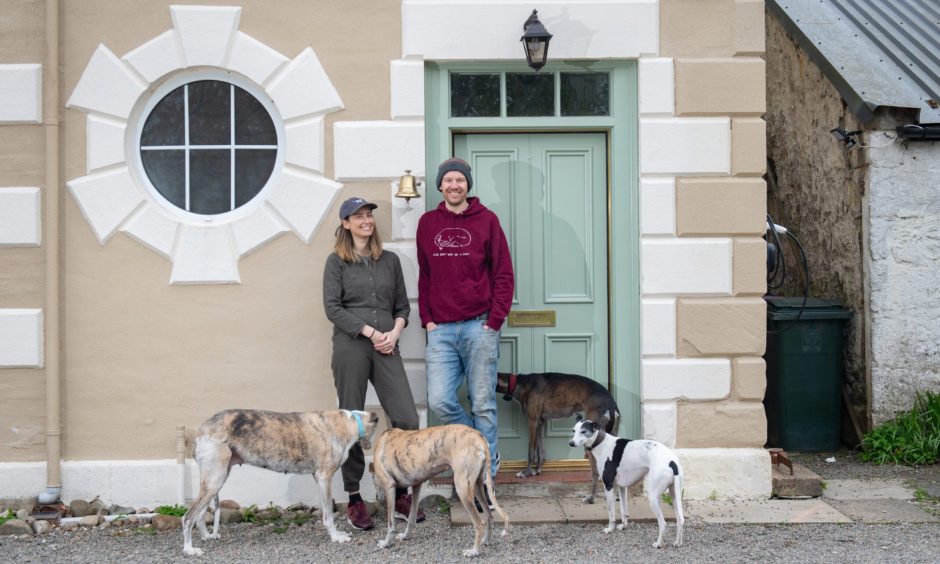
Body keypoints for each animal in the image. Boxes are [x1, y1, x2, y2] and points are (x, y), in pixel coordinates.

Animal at [496, 372, 620, 504]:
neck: (520, 383)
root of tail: (611, 405)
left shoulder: (533, 421)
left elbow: (531, 451)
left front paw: (526, 473)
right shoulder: (540, 422)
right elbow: (540, 450)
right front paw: (537, 470)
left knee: (596, 473)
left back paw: (591, 498)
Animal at [568, 414, 688, 548]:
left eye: (583, 431)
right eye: (574, 430)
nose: (571, 443)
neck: (602, 444)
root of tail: (672, 462)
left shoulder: (608, 486)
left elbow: (611, 512)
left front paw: (610, 529)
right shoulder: (622, 487)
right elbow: (624, 510)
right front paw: (623, 526)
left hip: (652, 497)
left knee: (663, 523)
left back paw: (658, 544)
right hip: (674, 495)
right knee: (680, 519)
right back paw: (678, 543)